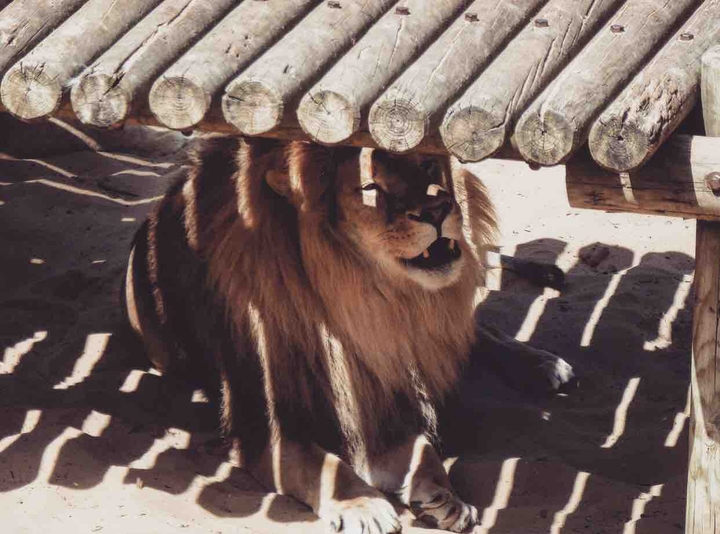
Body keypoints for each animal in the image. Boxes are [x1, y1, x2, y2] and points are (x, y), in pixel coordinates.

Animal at [123, 137, 574, 533]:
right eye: (371, 188)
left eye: (428, 165)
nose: (438, 208)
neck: (373, 303)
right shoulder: (264, 423)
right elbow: (322, 466)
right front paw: (364, 506)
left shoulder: (378, 402)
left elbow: (424, 451)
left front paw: (446, 498)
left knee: (477, 329)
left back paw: (542, 363)